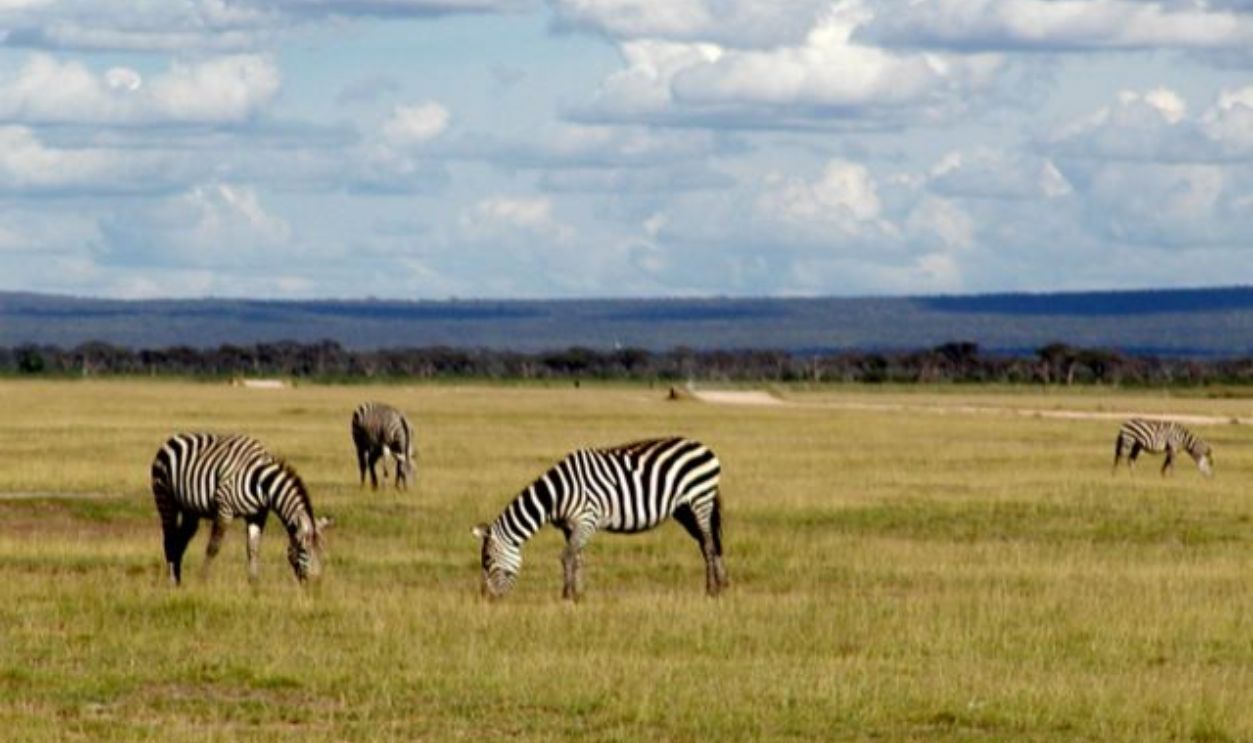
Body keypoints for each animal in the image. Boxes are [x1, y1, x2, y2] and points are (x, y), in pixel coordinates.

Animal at [150, 432, 330, 586]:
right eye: (304, 549)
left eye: (322, 550)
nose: (317, 584)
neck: (261, 483)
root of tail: (171, 439)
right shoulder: (224, 509)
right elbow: (213, 547)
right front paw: (203, 579)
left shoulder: (257, 515)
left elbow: (253, 549)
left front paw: (254, 583)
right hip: (165, 499)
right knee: (169, 538)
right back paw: (172, 580)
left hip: (190, 510)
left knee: (181, 540)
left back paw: (178, 579)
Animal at [472, 436, 727, 601]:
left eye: (487, 560)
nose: (486, 598)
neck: (557, 494)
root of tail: (703, 446)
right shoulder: (570, 527)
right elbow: (578, 558)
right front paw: (580, 594)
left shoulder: (586, 520)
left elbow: (566, 556)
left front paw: (567, 595)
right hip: (683, 509)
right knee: (708, 543)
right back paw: (723, 584)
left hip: (700, 500)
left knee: (708, 543)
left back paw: (711, 590)